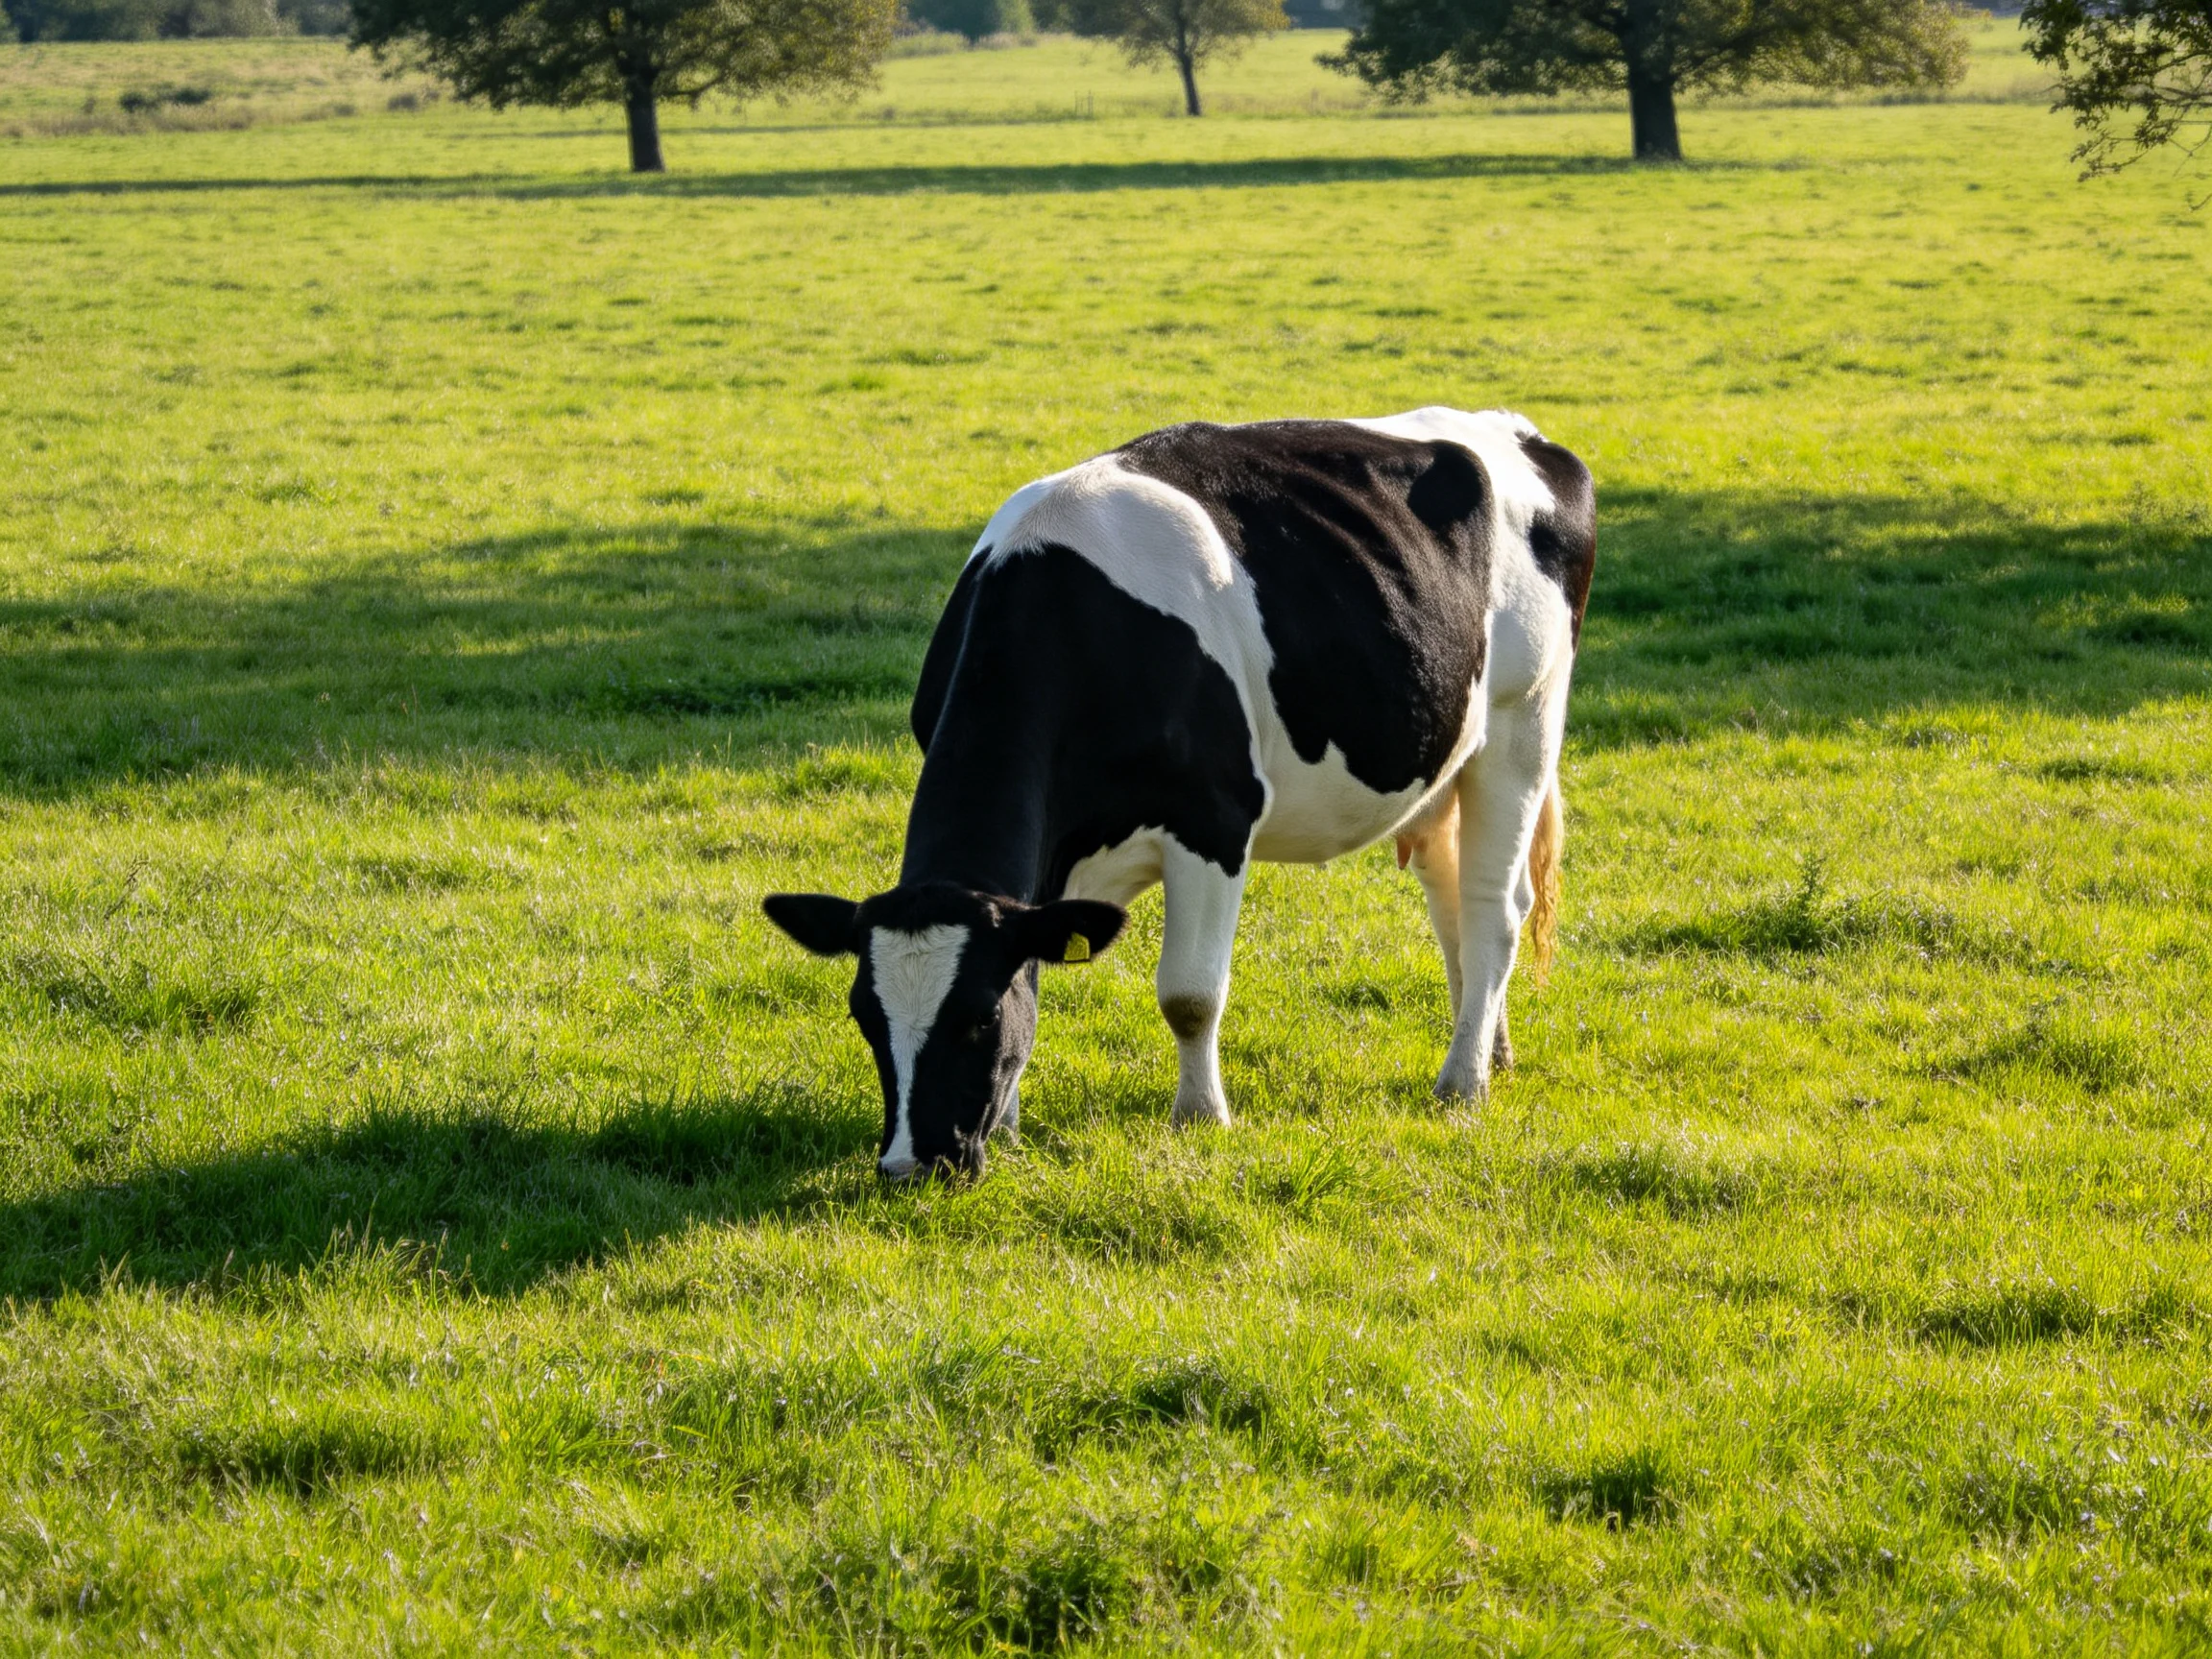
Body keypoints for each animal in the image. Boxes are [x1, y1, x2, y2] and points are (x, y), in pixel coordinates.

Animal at [764, 408, 1596, 1181]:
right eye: (864, 1016)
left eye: (976, 1015)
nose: (913, 1164)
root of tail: (1515, 430)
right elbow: (1036, 963)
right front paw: (1010, 1125)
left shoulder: (1215, 822)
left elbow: (1189, 995)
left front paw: (1200, 1117)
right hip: (1441, 756)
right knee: (1451, 896)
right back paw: (1490, 1050)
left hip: (1523, 723)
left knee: (1495, 907)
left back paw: (1461, 1083)